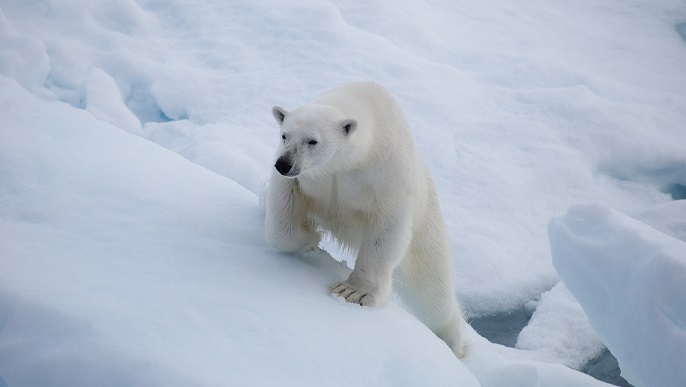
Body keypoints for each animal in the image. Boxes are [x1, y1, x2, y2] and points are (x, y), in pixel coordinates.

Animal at [266, 82, 470, 358]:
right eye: (285, 135)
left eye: (312, 140)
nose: (284, 164)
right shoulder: (307, 178)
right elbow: (283, 212)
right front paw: (310, 235)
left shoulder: (385, 173)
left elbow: (387, 226)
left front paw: (354, 291)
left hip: (427, 228)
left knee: (433, 290)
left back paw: (454, 344)